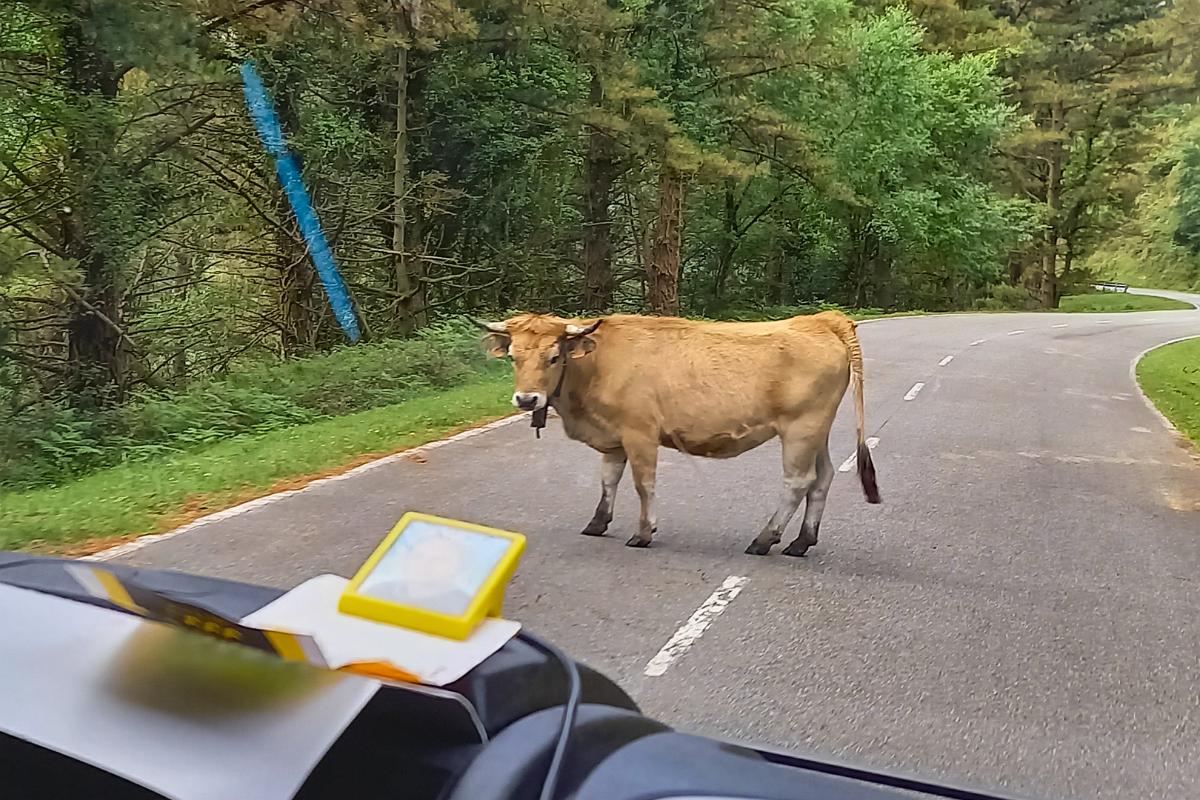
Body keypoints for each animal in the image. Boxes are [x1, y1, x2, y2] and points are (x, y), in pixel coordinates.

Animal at [472, 311, 880, 556]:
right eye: (514, 357)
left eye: (554, 357)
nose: (527, 399)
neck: (596, 365)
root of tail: (821, 319)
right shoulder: (614, 437)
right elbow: (608, 480)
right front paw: (598, 523)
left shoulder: (640, 432)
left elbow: (643, 483)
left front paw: (643, 533)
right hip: (816, 430)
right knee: (822, 477)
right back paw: (802, 541)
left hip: (800, 428)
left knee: (798, 481)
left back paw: (764, 540)